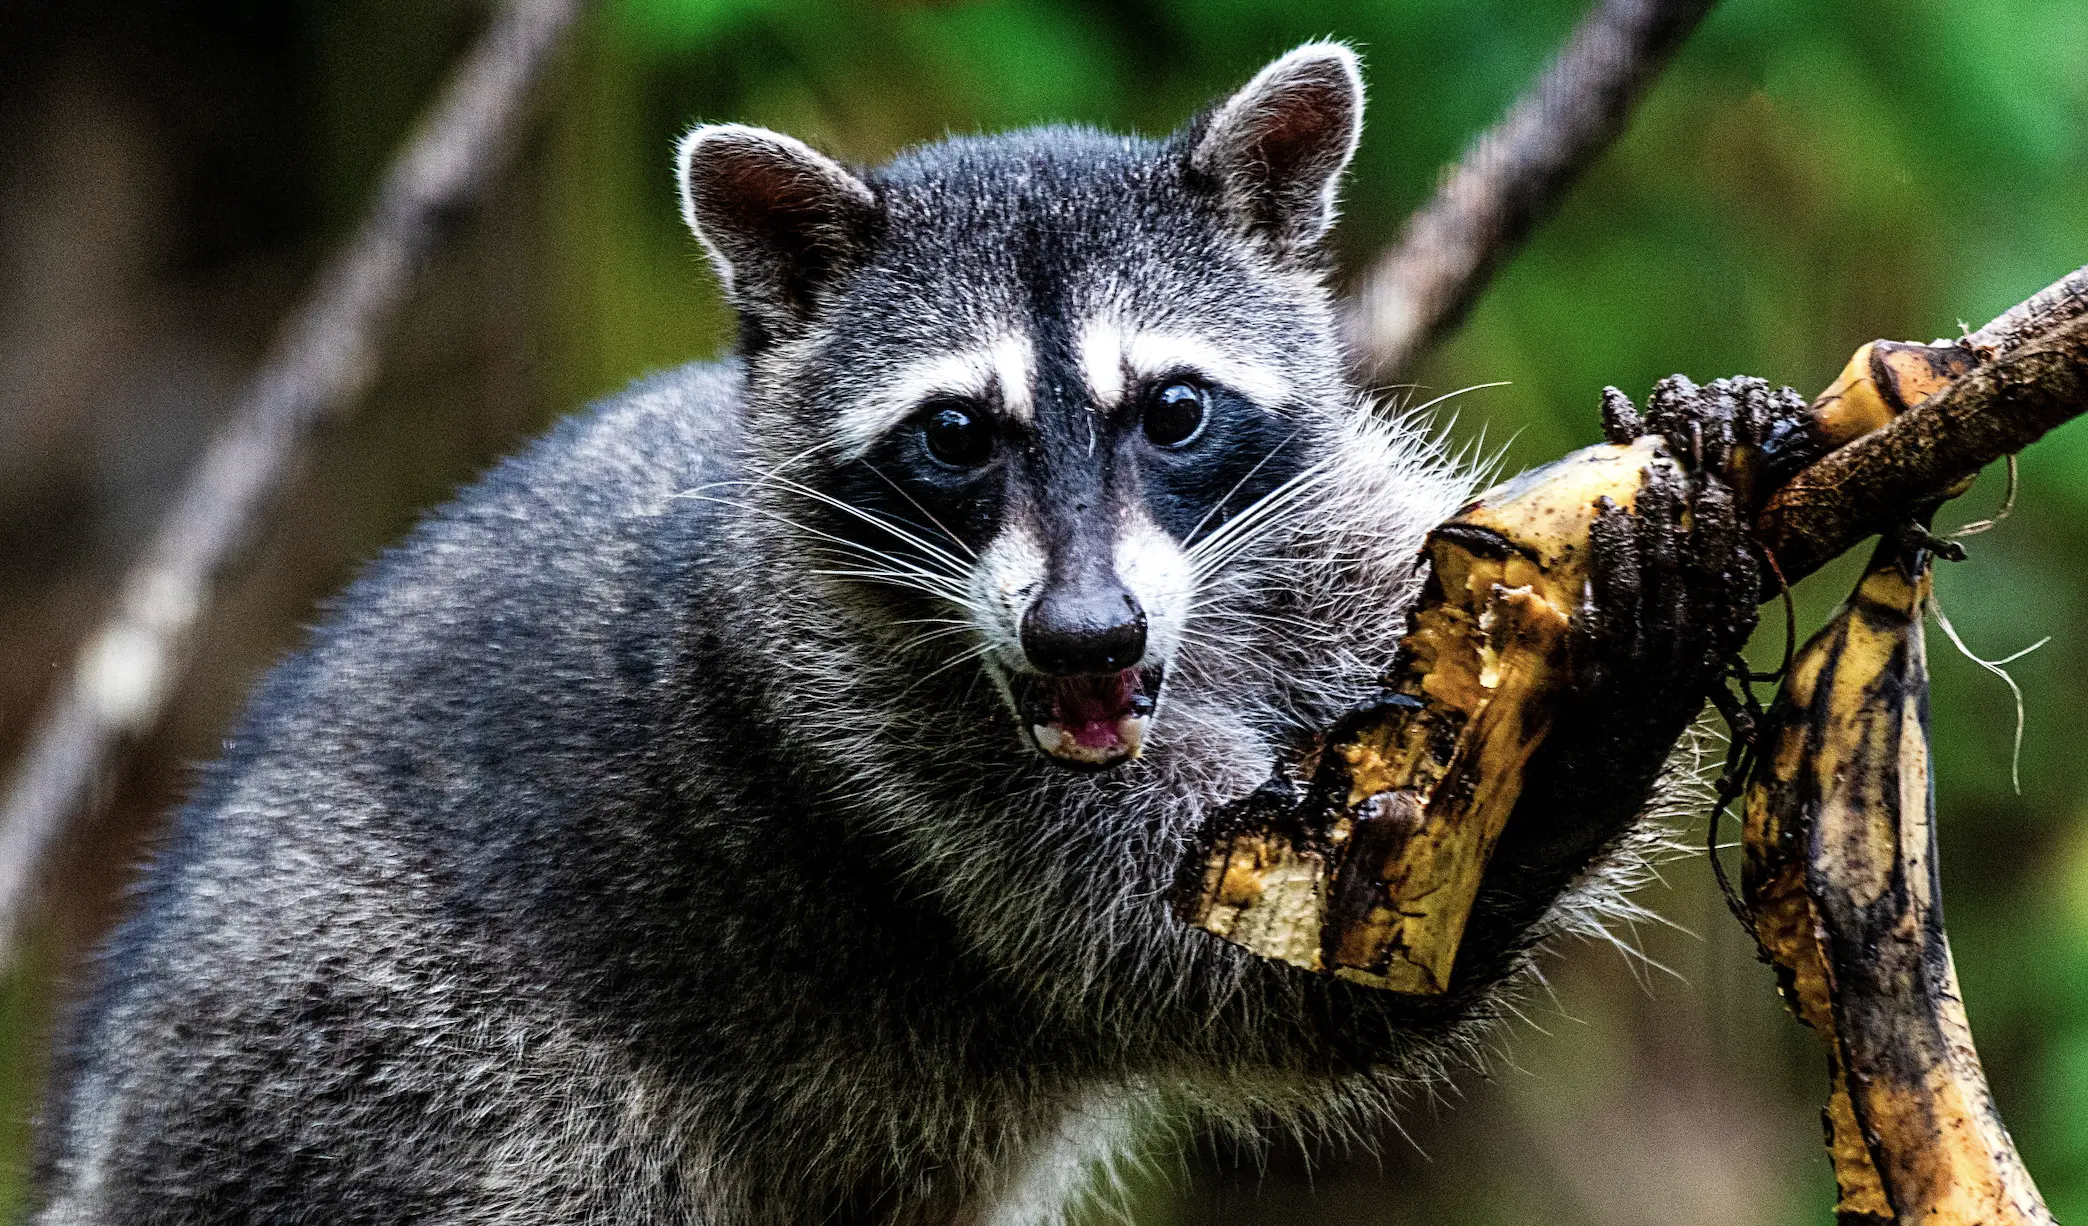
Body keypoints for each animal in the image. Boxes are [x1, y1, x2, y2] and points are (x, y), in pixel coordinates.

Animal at [34, 42, 1755, 1226]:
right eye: (955, 436)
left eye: (1173, 409)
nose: (1082, 634)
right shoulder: (869, 755)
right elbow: (1278, 977)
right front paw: (1596, 731)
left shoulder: (1322, 532)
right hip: (405, 1092)